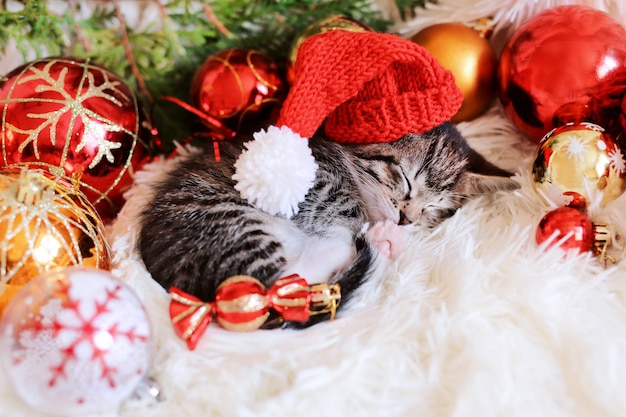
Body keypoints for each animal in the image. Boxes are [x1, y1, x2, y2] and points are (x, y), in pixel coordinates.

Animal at [138, 122, 516, 326]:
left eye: (433, 208)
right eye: (406, 179)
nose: (406, 219)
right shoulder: (309, 180)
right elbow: (341, 205)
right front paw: (373, 226)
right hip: (230, 225)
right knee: (277, 289)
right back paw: (377, 241)